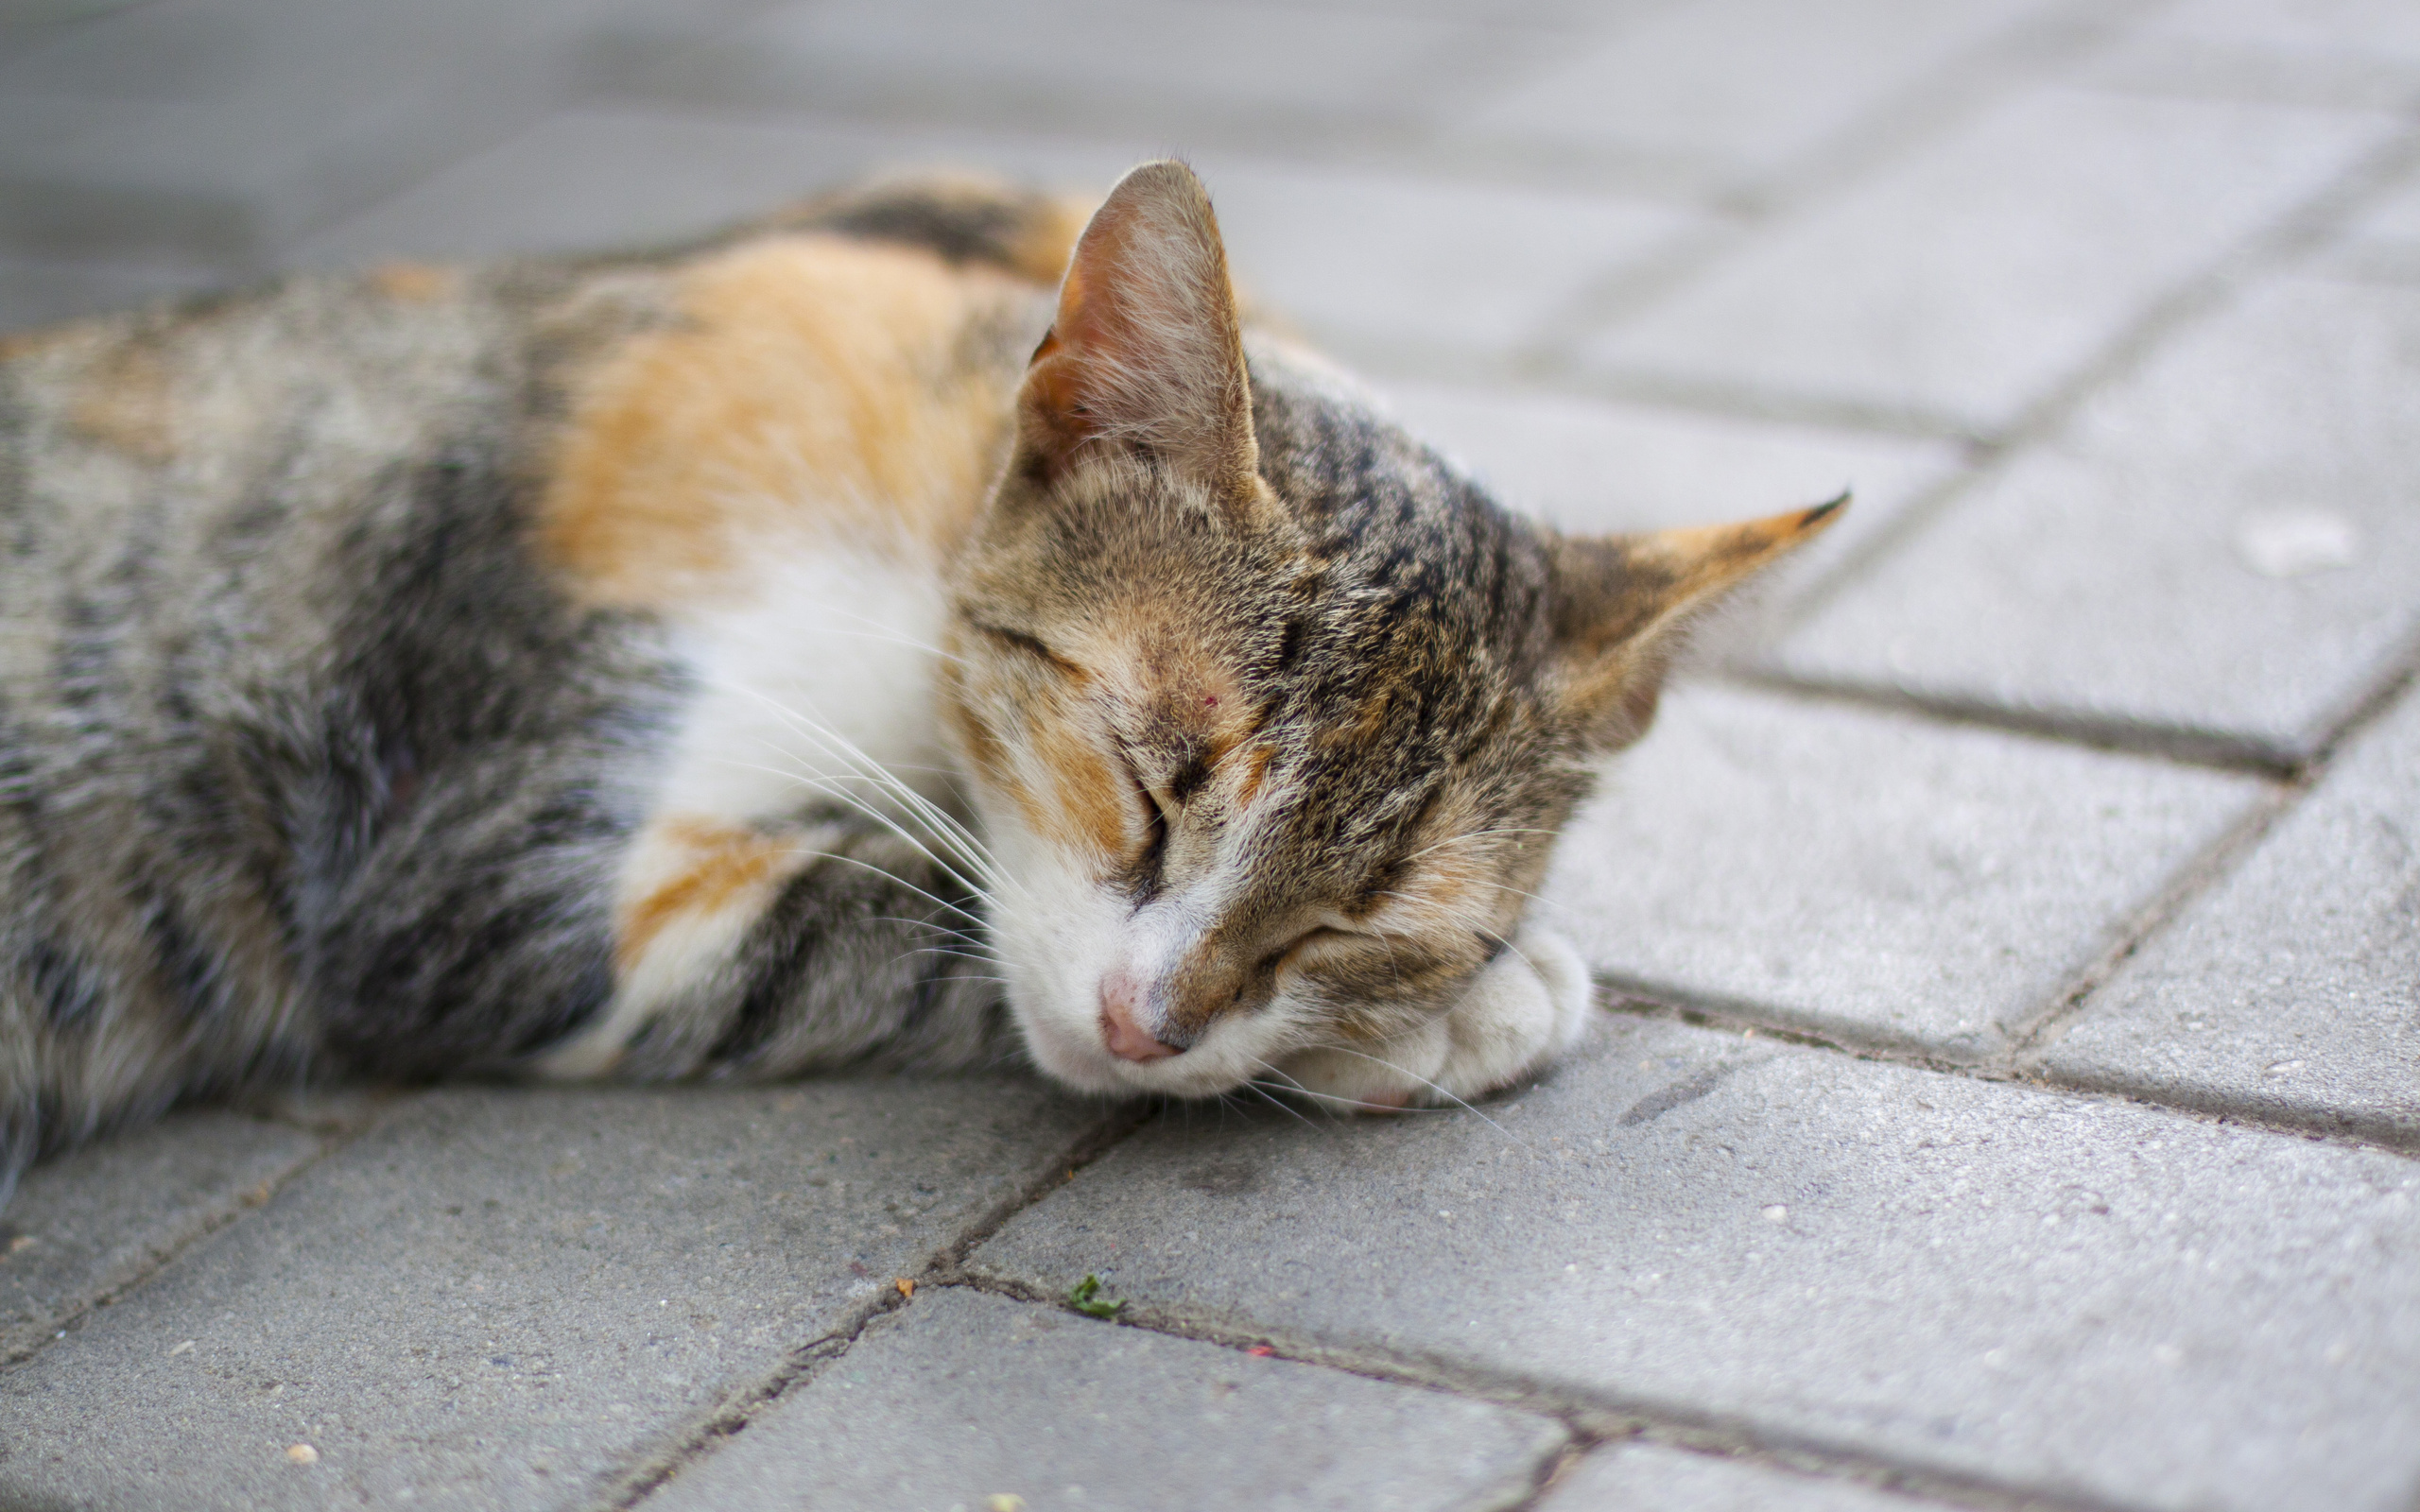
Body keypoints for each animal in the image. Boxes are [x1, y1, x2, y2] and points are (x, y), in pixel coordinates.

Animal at [0, 153, 1829, 1190]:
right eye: (1147, 781)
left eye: (1358, 925)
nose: (1152, 1029)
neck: (928, 501)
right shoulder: (477, 868)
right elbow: (898, 909)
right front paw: (1467, 1019)